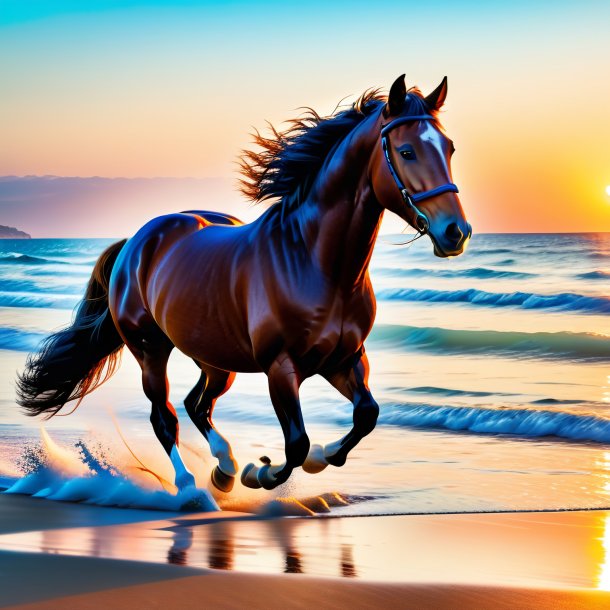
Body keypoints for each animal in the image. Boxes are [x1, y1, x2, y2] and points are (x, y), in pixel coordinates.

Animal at [15, 76, 470, 492]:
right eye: (407, 151)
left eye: (449, 148)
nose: (456, 233)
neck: (315, 264)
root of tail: (136, 241)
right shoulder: (281, 369)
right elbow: (296, 443)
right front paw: (262, 472)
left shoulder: (345, 359)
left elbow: (366, 415)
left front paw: (319, 459)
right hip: (150, 350)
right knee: (165, 416)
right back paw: (190, 487)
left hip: (215, 357)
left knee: (197, 405)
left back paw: (224, 468)